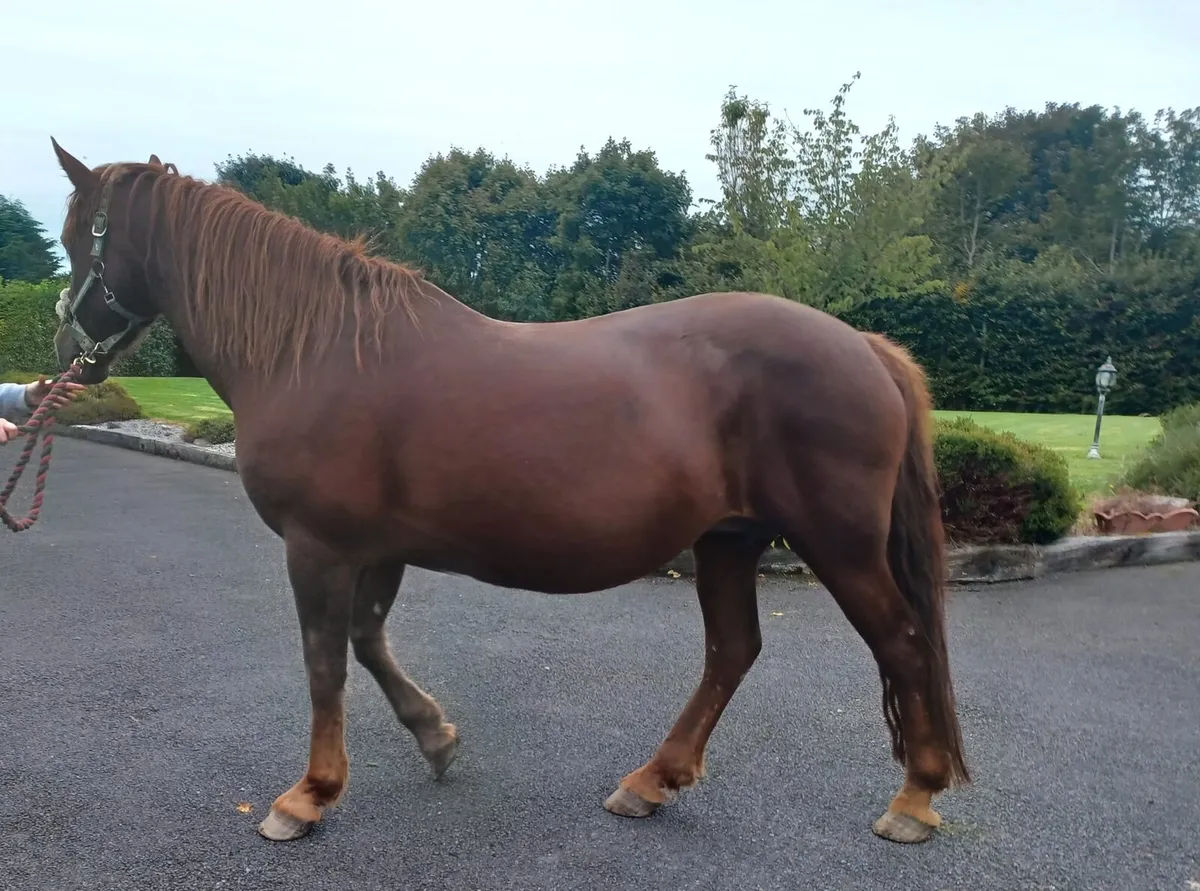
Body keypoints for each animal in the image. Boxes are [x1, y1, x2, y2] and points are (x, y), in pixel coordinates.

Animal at [46, 138, 969, 846]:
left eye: (78, 237)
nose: (65, 348)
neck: (318, 352)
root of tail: (862, 344)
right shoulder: (376, 548)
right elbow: (368, 642)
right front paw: (435, 736)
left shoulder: (319, 546)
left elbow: (324, 662)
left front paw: (307, 795)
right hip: (728, 538)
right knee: (733, 650)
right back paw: (651, 780)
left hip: (836, 542)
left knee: (901, 640)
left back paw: (914, 798)